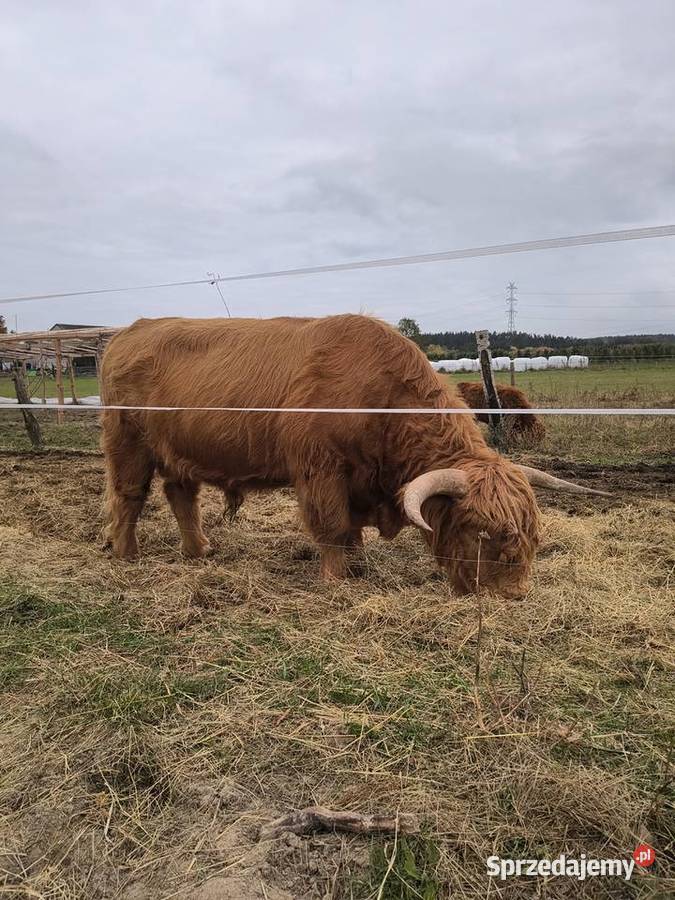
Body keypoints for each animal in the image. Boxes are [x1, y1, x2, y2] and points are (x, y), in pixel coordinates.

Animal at [100, 315, 606, 598]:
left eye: (533, 533)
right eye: (482, 532)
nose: (514, 595)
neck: (381, 401)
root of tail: (132, 330)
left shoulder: (361, 481)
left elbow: (352, 530)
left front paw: (359, 564)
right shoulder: (321, 469)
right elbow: (333, 526)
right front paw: (337, 580)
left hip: (177, 450)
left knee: (179, 494)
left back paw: (198, 550)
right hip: (128, 441)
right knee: (129, 496)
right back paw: (126, 555)